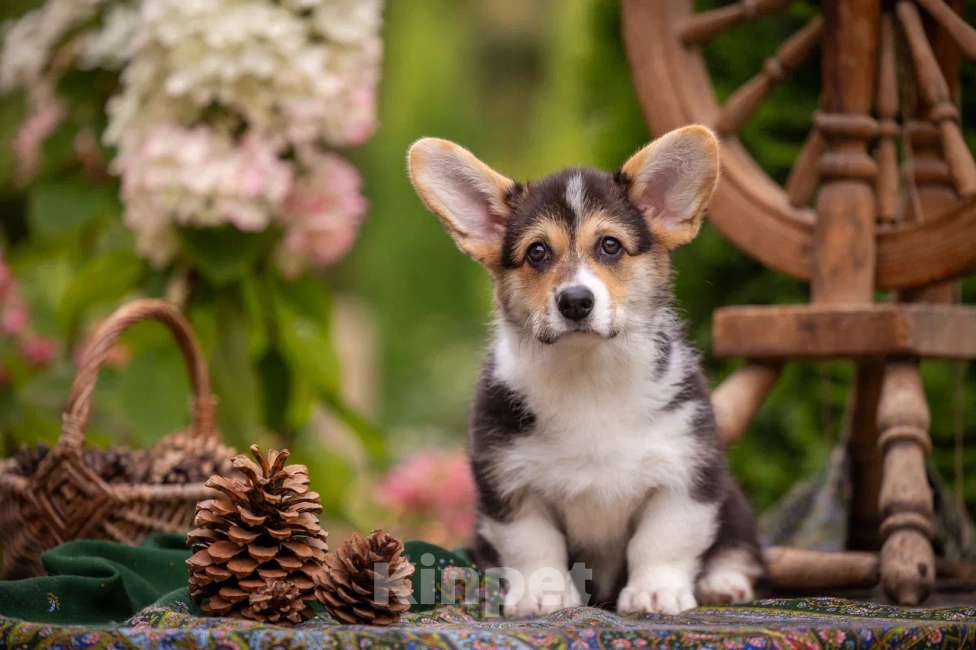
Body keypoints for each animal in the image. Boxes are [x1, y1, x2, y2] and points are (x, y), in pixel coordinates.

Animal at [404, 124, 764, 616]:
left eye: (609, 245)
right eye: (537, 252)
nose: (575, 301)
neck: (588, 373)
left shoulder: (686, 471)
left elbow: (663, 539)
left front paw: (654, 592)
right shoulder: (509, 483)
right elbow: (533, 545)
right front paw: (544, 595)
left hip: (733, 501)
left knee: (736, 543)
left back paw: (723, 583)